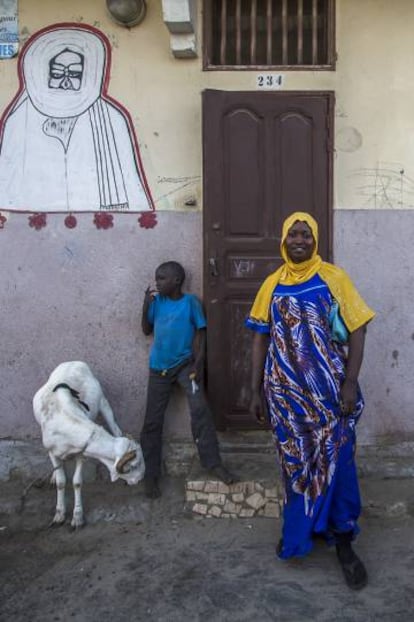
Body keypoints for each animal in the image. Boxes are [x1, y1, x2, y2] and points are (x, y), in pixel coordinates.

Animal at [32, 364, 146, 528]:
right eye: (133, 466)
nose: (141, 479)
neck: (67, 421)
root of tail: (73, 362)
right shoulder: (52, 452)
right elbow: (61, 482)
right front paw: (59, 514)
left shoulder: (81, 453)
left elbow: (77, 482)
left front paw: (77, 517)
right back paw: (54, 475)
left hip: (103, 403)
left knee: (116, 429)